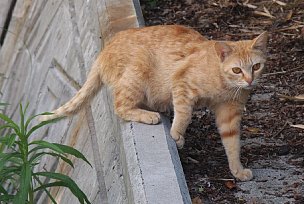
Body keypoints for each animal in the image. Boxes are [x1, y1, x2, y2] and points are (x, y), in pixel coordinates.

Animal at [41, 25, 268, 180]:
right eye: (237, 70)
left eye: (256, 66)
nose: (250, 80)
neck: (225, 83)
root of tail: (102, 53)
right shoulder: (182, 84)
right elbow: (184, 114)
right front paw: (177, 135)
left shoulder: (229, 114)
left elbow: (232, 144)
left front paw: (237, 170)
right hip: (137, 72)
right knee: (120, 106)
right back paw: (149, 115)